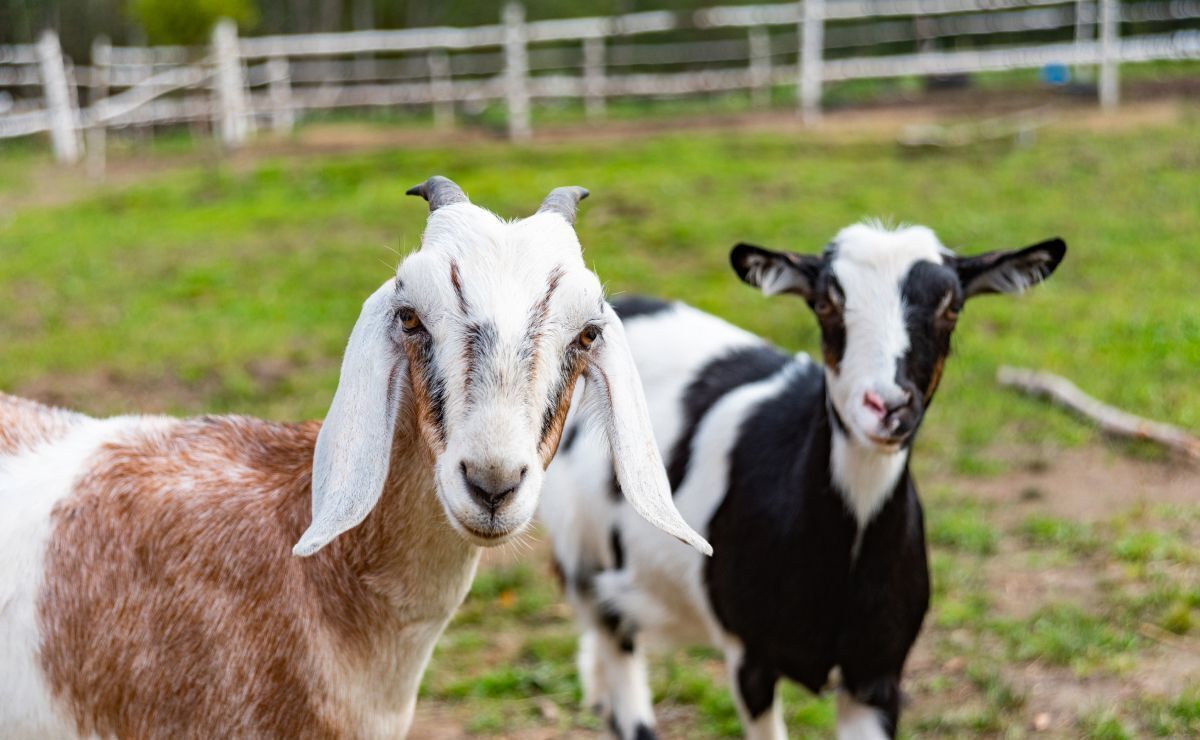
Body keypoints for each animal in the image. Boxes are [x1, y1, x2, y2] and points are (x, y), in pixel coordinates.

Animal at [540, 221, 1065, 734]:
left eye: (952, 307)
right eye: (826, 304)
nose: (888, 406)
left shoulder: (876, 675)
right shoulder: (749, 654)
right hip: (583, 555)